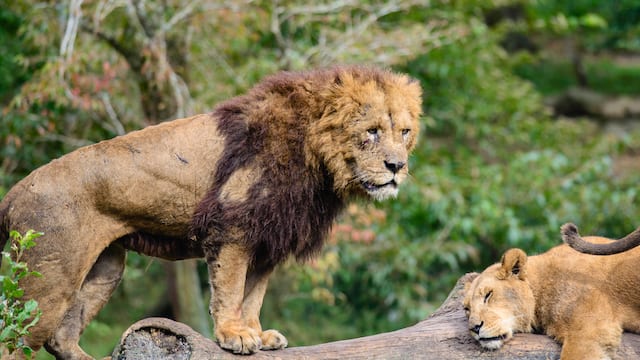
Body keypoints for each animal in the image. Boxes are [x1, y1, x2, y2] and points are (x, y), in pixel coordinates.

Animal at [0, 65, 422, 358]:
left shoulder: (268, 237)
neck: (317, 158)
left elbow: (253, 294)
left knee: (60, 337)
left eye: (403, 132)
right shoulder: (233, 226)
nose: (397, 166)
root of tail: (14, 192)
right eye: (371, 131)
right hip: (50, 275)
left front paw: (257, 333)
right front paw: (233, 335)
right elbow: (231, 289)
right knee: (14, 338)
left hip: (107, 267)